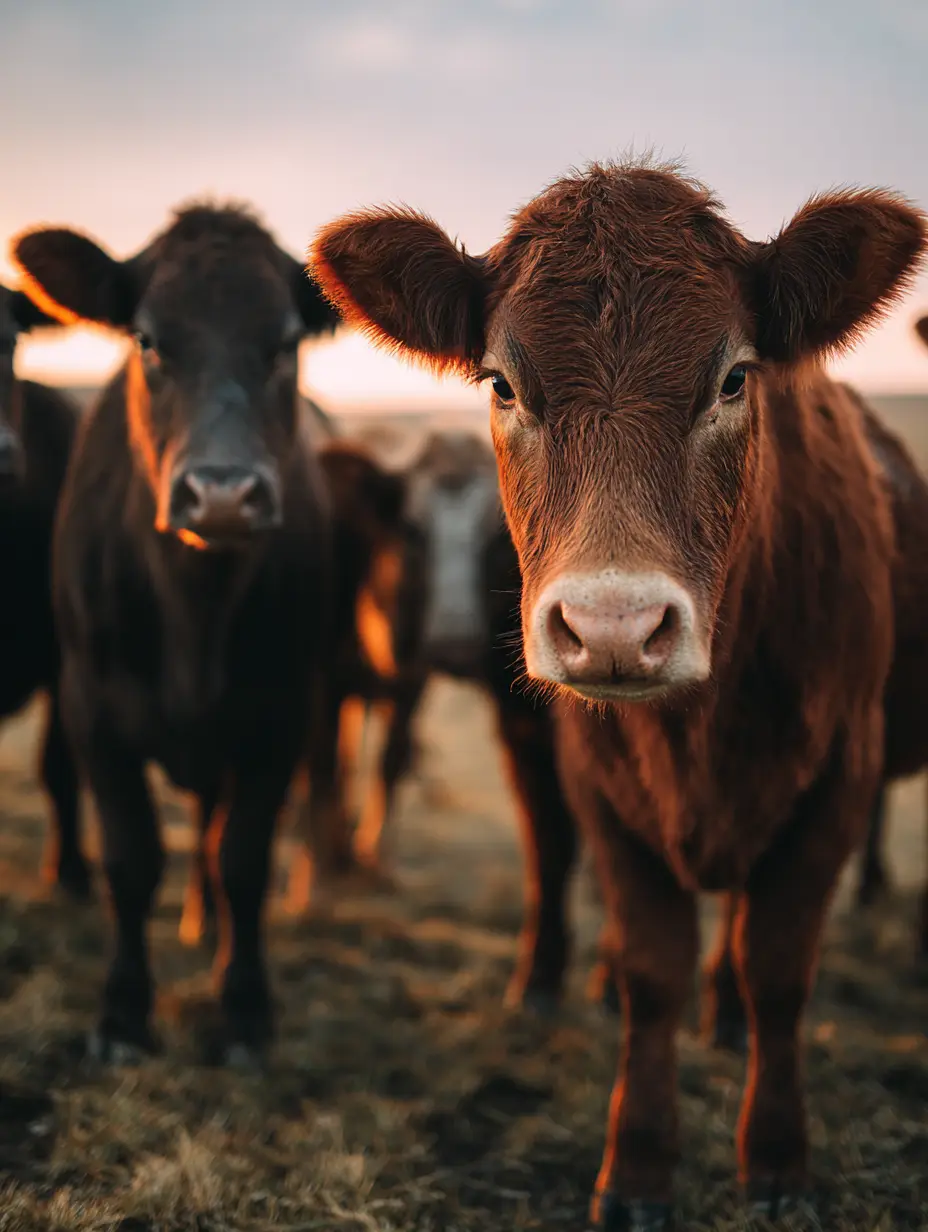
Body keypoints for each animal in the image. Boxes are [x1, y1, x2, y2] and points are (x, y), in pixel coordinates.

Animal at [12, 202, 340, 1067]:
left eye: (286, 341)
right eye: (149, 339)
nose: (222, 494)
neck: (197, 613)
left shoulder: (280, 716)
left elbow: (244, 858)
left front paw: (245, 1009)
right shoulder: (90, 709)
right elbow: (131, 860)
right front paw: (124, 1014)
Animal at [308, 161, 928, 1227]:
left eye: (734, 378)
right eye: (503, 383)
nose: (612, 627)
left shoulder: (837, 779)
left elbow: (779, 967)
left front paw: (775, 1158)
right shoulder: (595, 781)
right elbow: (648, 968)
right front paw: (636, 1167)